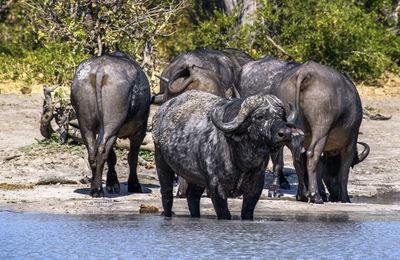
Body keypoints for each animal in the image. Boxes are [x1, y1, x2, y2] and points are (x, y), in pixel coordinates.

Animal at [70, 50, 150, 197]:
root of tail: (100, 70)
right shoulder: (140, 130)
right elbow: (132, 157)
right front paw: (134, 184)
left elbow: (112, 157)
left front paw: (112, 183)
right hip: (111, 125)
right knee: (102, 151)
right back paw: (97, 189)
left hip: (86, 124)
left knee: (93, 152)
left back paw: (94, 187)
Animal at [152, 90, 302, 218]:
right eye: (259, 117)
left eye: (282, 116)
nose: (285, 133)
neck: (242, 161)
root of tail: (160, 112)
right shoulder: (216, 187)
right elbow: (225, 214)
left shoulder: (255, 188)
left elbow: (247, 212)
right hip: (161, 160)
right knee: (166, 194)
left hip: (196, 178)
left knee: (192, 197)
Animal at [238, 58, 368, 204]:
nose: (335, 196)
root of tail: (305, 72)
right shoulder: (350, 144)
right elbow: (343, 172)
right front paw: (345, 198)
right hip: (321, 129)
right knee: (312, 155)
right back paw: (315, 196)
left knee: (297, 157)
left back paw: (302, 195)